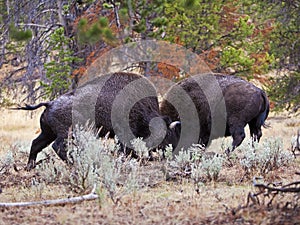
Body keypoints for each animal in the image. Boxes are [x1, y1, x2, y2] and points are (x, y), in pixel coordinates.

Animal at [14, 72, 180, 171]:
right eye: (168, 134)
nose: (171, 151)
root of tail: (50, 103)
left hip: (48, 133)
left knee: (36, 144)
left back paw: (29, 167)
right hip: (65, 134)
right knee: (57, 146)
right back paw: (73, 163)